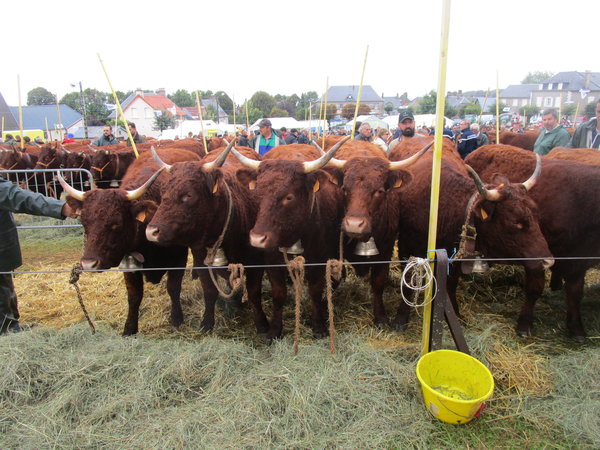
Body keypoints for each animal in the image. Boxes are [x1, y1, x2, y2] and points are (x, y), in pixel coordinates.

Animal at [57, 148, 200, 334]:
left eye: (116, 223)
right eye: (84, 222)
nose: (88, 264)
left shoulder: (178, 258)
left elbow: (173, 288)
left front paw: (177, 318)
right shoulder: (128, 261)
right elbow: (134, 296)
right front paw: (130, 327)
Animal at [394, 137, 552, 330]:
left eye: (536, 214)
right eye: (515, 222)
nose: (548, 261)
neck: (442, 205)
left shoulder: (455, 256)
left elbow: (451, 283)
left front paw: (455, 313)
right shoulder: (406, 246)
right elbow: (408, 281)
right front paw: (400, 318)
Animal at [466, 146, 600, 340]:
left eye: (537, 214)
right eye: (515, 222)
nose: (549, 261)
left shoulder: (577, 261)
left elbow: (575, 293)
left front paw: (577, 328)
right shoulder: (534, 258)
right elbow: (534, 289)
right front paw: (525, 325)